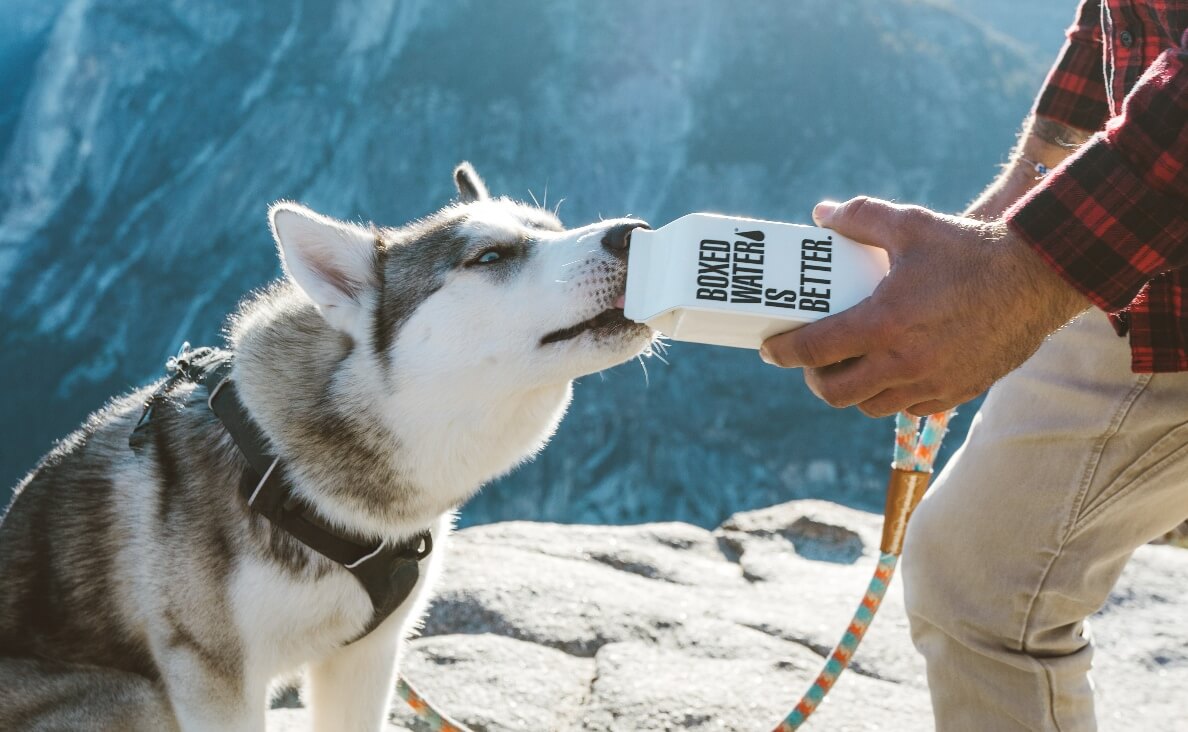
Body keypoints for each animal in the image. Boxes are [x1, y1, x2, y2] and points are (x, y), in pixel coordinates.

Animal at [0, 166, 651, 732]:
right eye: (489, 256)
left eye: (552, 226)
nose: (634, 232)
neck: (284, 471)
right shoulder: (213, 680)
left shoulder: (368, 656)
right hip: (141, 698)